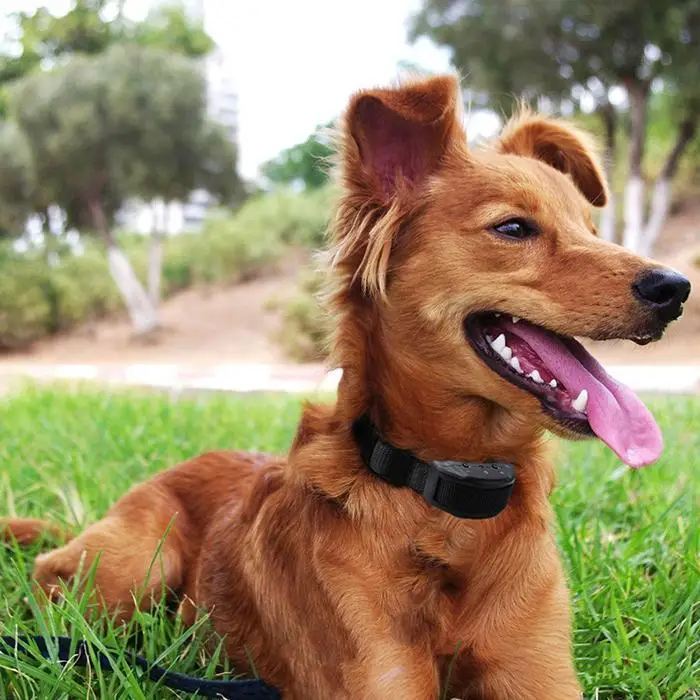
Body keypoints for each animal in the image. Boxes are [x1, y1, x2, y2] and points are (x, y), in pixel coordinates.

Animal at [0, 74, 688, 696]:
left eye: (593, 231)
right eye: (514, 228)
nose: (675, 288)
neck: (448, 498)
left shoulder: (537, 674)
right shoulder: (378, 677)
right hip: (135, 566)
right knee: (50, 577)